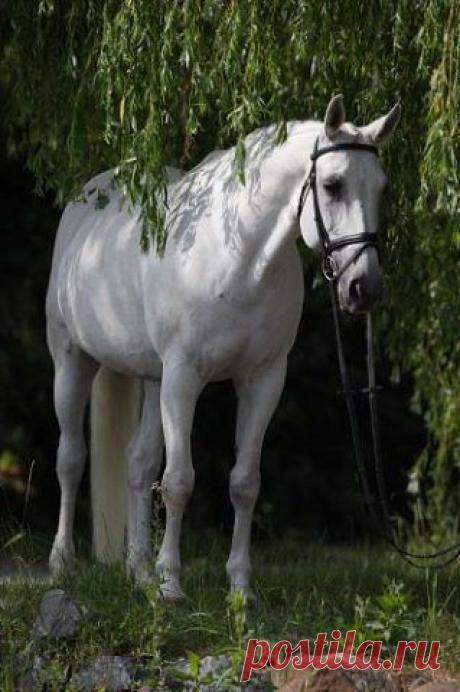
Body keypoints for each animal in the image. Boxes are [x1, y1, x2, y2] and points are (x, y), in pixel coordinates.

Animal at [46, 95, 400, 600]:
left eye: (382, 188)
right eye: (332, 185)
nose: (363, 288)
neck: (239, 259)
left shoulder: (263, 380)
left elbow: (244, 483)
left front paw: (239, 589)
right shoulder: (184, 378)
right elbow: (178, 480)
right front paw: (171, 586)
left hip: (152, 379)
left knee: (137, 463)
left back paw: (138, 570)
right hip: (73, 362)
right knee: (71, 459)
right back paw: (62, 564)